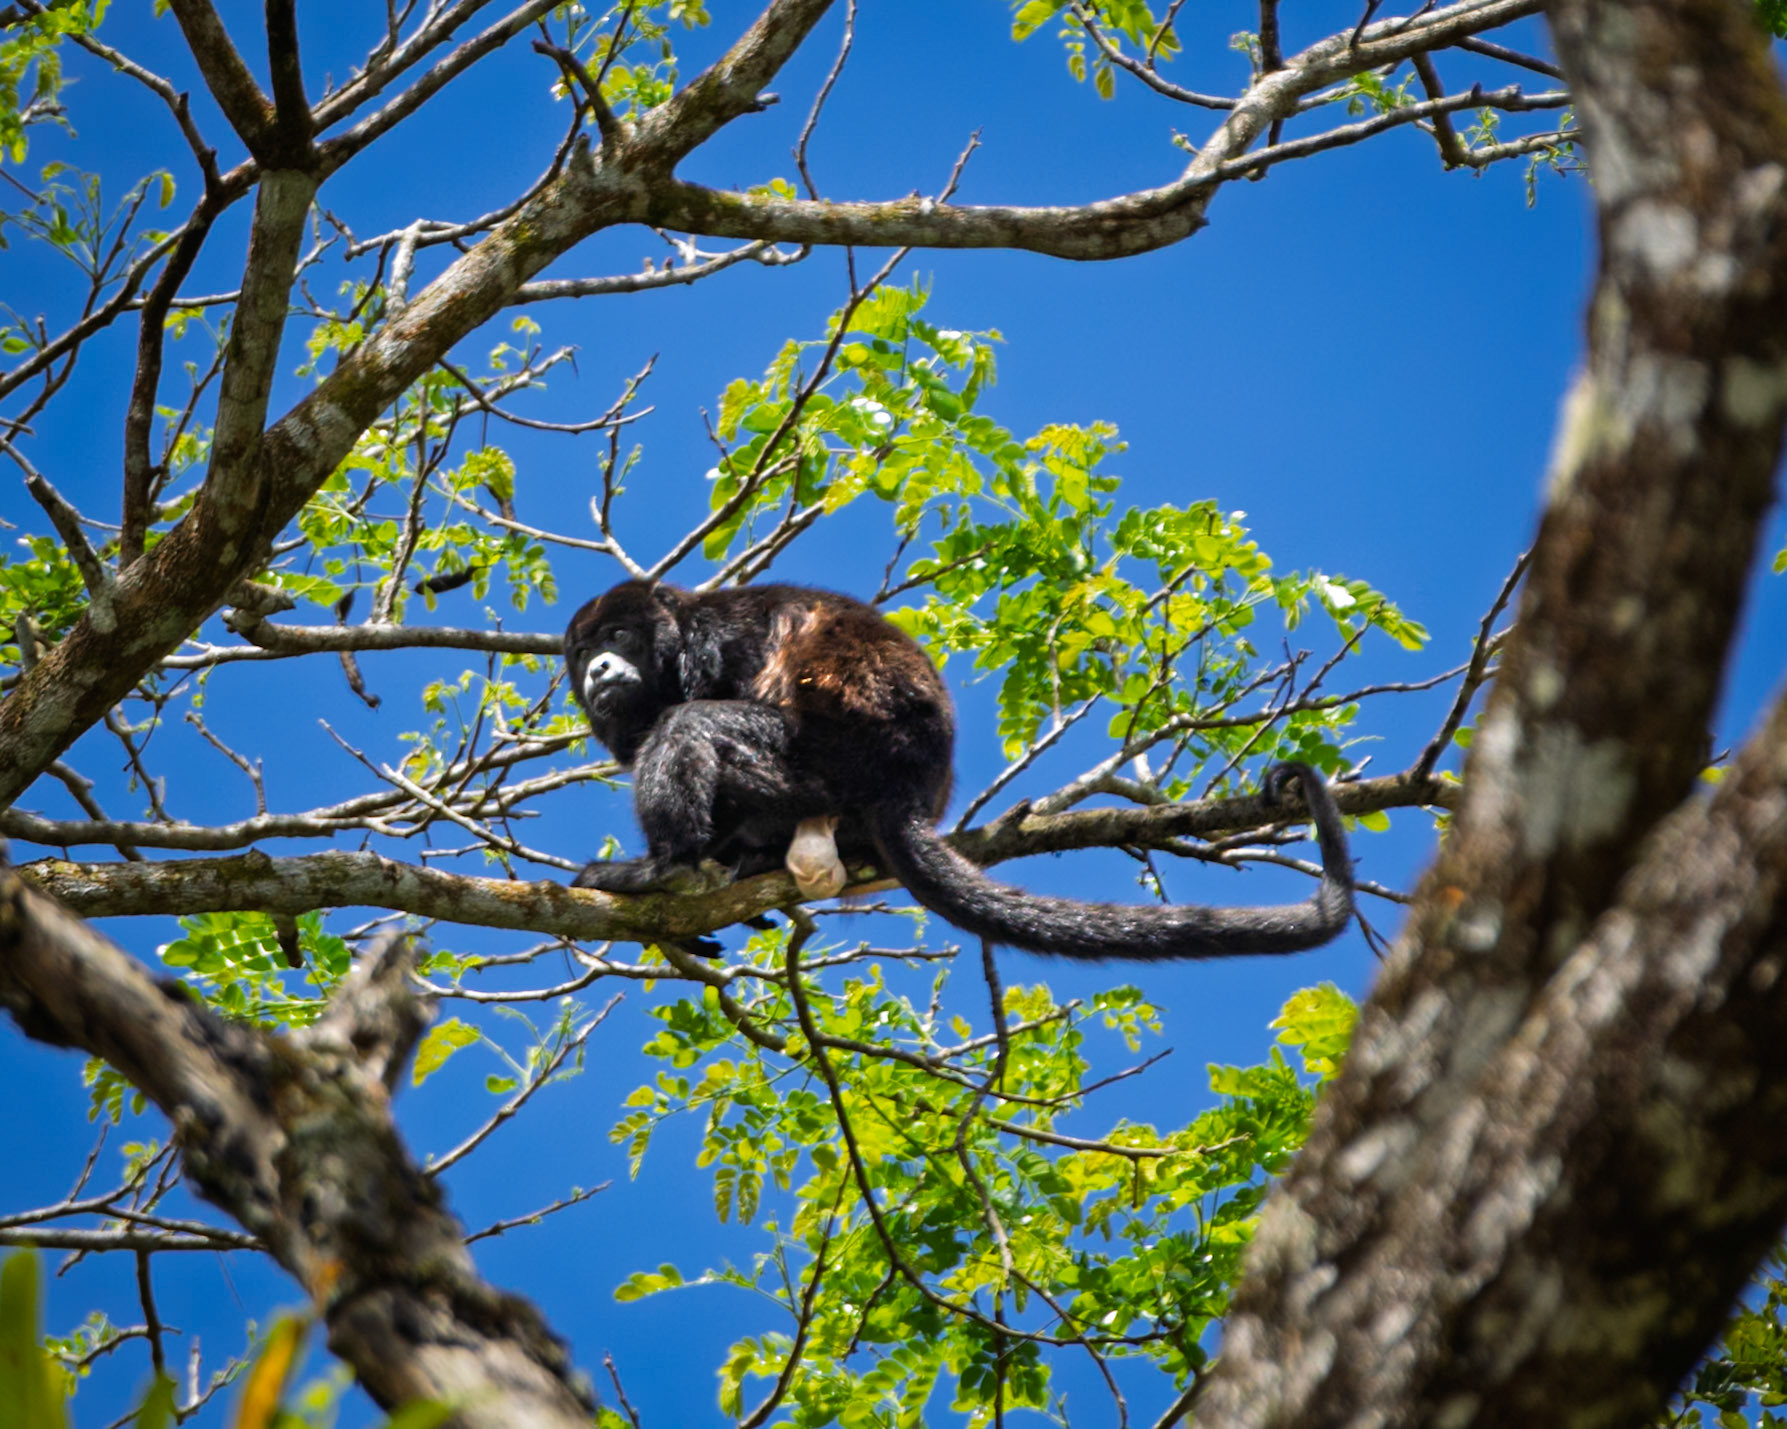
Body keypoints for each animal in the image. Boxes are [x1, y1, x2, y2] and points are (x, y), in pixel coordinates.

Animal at [563, 579, 1354, 961]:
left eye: (619, 636)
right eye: (581, 654)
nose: (597, 668)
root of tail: (911, 789)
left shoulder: (717, 642)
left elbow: (702, 706)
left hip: (821, 768)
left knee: (691, 727)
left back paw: (665, 867)